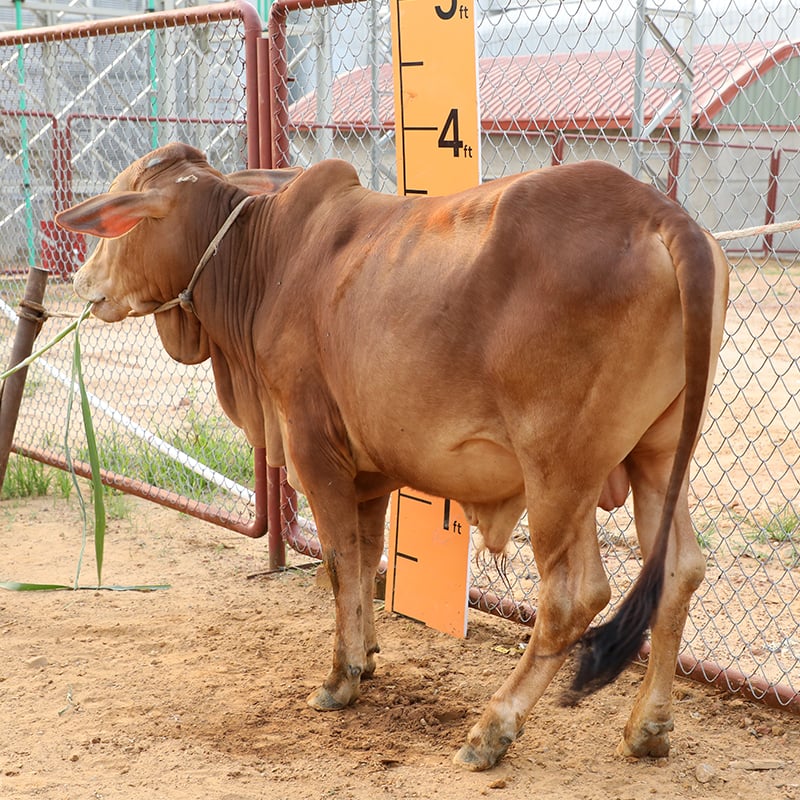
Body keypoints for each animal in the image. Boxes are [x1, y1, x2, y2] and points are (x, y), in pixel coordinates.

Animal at [56, 142, 729, 772]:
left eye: (120, 219)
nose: (80, 282)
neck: (264, 260)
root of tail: (661, 213)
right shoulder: (370, 473)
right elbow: (366, 558)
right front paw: (370, 655)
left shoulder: (313, 447)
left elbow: (337, 561)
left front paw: (340, 678)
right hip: (657, 456)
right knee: (680, 572)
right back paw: (648, 727)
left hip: (558, 472)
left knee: (574, 595)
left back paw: (492, 729)